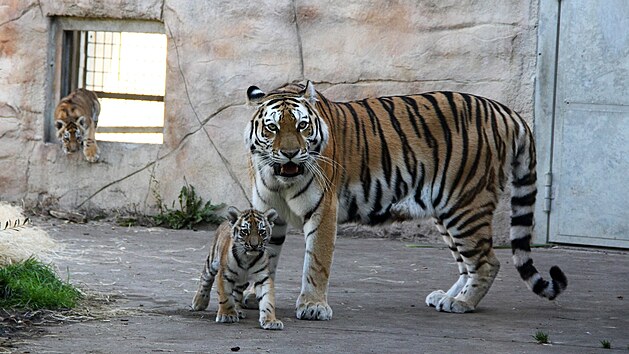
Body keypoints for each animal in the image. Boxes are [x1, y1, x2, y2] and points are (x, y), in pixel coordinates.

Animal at [243, 81, 568, 320]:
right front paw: (254, 294)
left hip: (466, 205)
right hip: (446, 211)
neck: (280, 178)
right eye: (273, 127)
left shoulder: (323, 209)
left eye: (302, 126)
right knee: (467, 264)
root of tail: (505, 111)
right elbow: (264, 255)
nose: (290, 154)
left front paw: (312, 306)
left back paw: (463, 304)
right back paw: (447, 297)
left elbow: (316, 262)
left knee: (487, 262)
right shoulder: (266, 210)